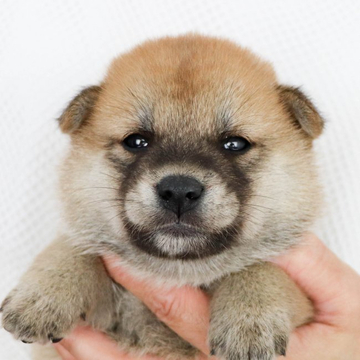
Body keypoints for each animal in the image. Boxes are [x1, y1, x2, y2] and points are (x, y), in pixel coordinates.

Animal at [1, 34, 324, 360]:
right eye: (136, 141)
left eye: (235, 144)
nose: (179, 191)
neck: (176, 272)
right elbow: (73, 247)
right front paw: (43, 295)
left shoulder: (303, 298)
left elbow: (262, 269)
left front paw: (249, 320)